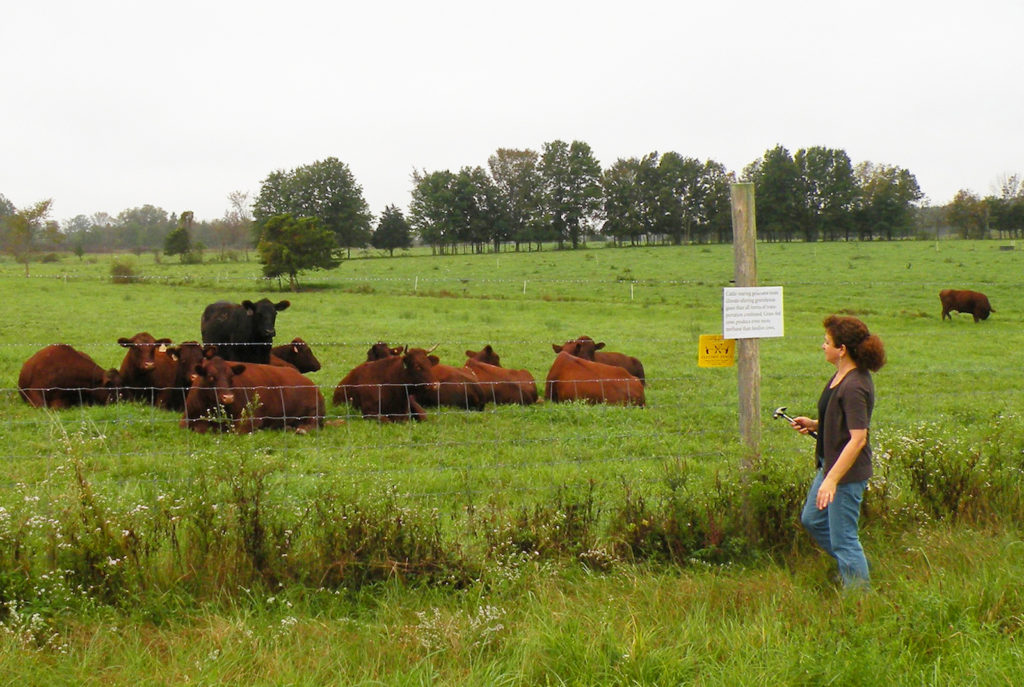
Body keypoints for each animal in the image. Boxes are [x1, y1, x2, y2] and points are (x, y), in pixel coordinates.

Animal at [180, 354, 323, 436]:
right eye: (211, 377)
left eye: (231, 377)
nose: (228, 398)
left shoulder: (250, 419)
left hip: (313, 410)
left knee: (313, 424)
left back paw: (301, 429)